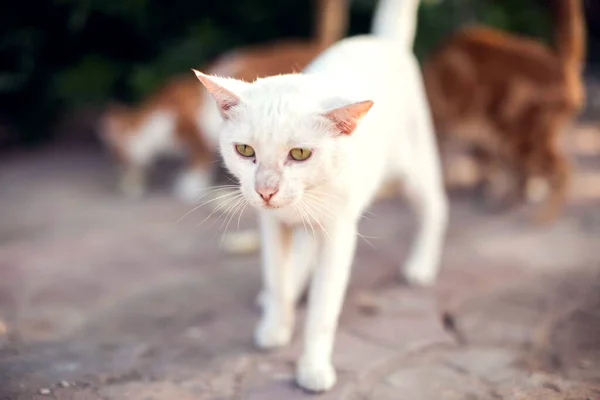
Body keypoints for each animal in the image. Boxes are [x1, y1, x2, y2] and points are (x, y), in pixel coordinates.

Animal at [192, 0, 446, 392]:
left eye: (299, 154)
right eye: (245, 150)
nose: (266, 189)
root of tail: (381, 40)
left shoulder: (338, 234)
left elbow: (323, 311)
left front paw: (313, 367)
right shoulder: (272, 226)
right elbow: (276, 278)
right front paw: (276, 326)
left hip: (414, 166)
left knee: (436, 207)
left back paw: (420, 265)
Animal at [422, 0, 584, 222]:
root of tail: (561, 64)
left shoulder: (462, 129)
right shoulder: (479, 135)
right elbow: (487, 164)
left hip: (518, 139)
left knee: (561, 170)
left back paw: (539, 217)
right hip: (520, 137)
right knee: (539, 171)